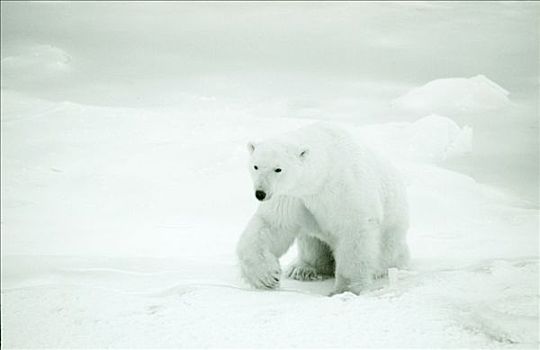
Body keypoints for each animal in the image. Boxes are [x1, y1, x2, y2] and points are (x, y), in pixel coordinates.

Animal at [236, 123, 410, 296]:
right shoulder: (292, 196)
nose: (260, 193)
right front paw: (266, 277)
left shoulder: (347, 187)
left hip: (391, 237)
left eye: (278, 169)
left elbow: (354, 230)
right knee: (312, 243)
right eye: (255, 166)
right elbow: (272, 224)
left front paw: (345, 289)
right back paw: (302, 269)